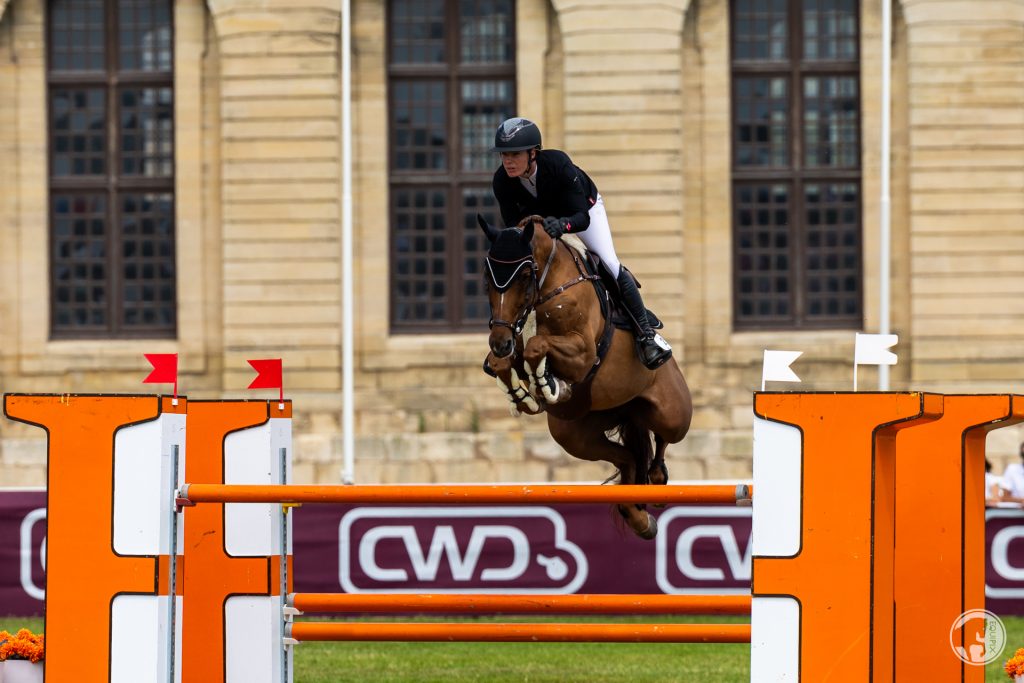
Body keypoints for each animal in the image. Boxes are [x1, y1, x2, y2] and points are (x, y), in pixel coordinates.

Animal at [479, 214, 696, 540]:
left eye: (524, 274)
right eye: (487, 276)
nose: (499, 341)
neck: (548, 287)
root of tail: (627, 409)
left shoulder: (582, 353)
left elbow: (536, 346)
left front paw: (547, 384)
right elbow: (505, 362)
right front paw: (523, 395)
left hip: (672, 414)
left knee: (661, 442)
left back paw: (657, 486)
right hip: (575, 436)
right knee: (628, 459)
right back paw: (640, 519)